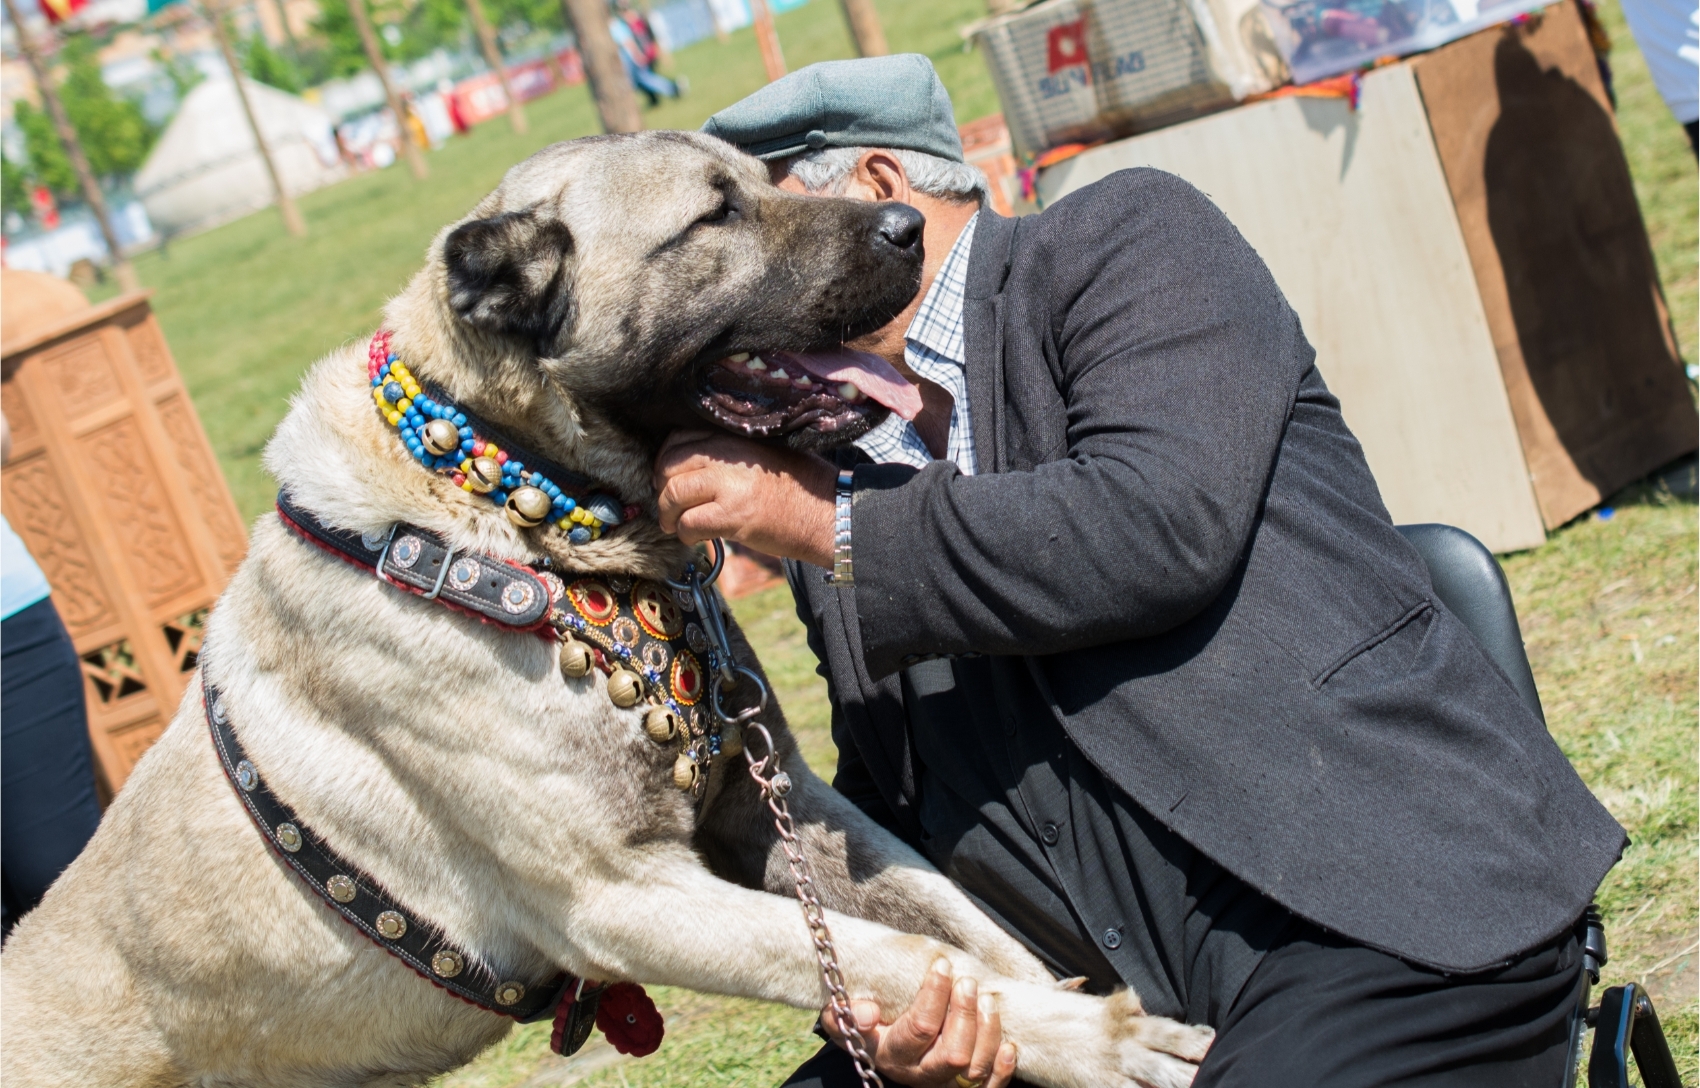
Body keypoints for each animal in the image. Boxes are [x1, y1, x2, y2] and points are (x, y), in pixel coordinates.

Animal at [0, 129, 1210, 1088]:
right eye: (715, 214)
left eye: (758, 182)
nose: (911, 224)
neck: (515, 507)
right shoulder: (623, 894)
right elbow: (915, 957)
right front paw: (1095, 1043)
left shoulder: (785, 807)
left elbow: (958, 920)